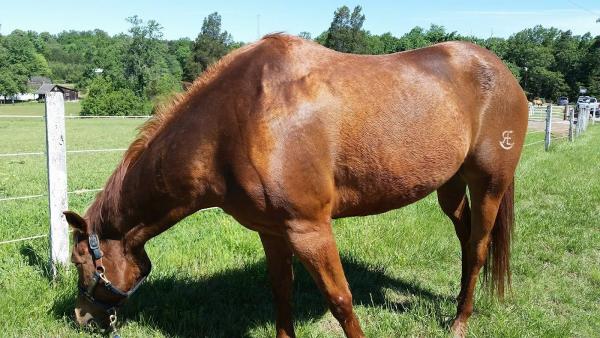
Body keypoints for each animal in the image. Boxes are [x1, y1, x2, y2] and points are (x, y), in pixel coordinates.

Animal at [63, 34, 528, 338]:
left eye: (80, 260)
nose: (81, 316)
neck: (235, 121)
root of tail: (504, 73)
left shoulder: (310, 229)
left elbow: (340, 300)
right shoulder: (272, 231)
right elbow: (281, 293)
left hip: (489, 185)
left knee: (479, 247)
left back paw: (460, 322)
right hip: (448, 186)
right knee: (466, 240)